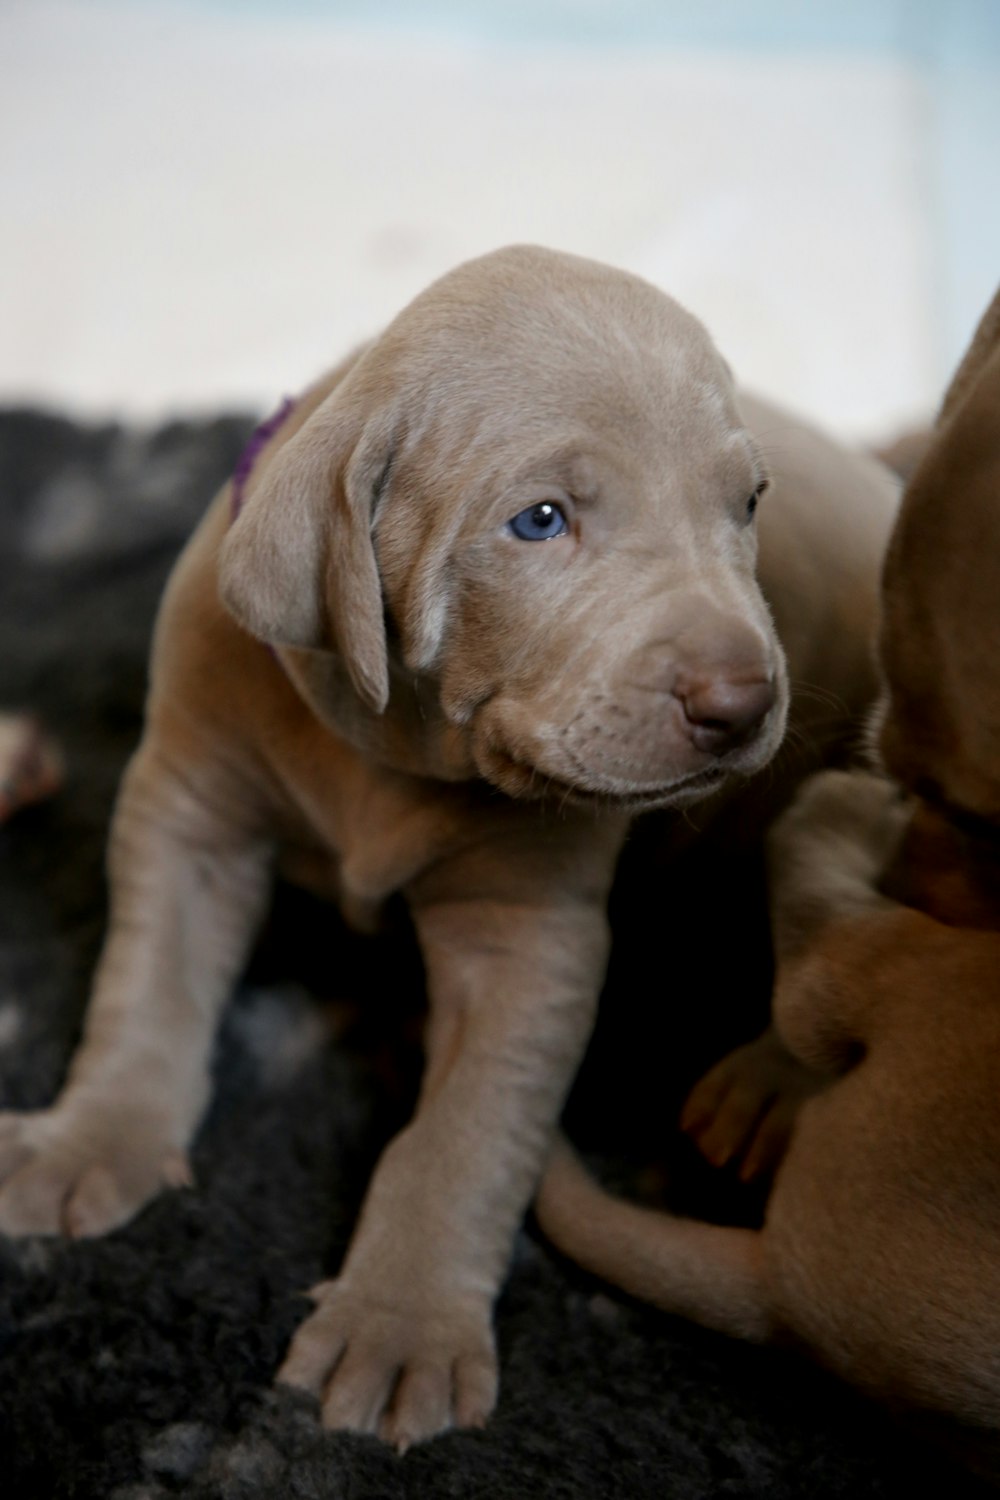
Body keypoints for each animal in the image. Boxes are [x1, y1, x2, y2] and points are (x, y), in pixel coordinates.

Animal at [0, 252, 893, 1446]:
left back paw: (764, 1085)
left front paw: (399, 1325)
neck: (390, 746)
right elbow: (149, 989)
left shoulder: (524, 938)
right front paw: (92, 1139)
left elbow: (463, 1138)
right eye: (541, 520)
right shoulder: (189, 810)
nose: (743, 702)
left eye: (746, 504)